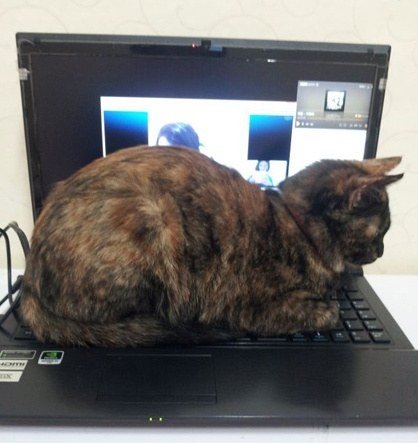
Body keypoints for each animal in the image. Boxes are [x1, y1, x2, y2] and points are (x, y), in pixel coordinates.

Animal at [20, 146, 403, 347]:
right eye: (382, 231)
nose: (382, 251)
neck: (297, 222)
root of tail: (29, 283)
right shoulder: (256, 309)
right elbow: (330, 311)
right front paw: (330, 304)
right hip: (156, 218)